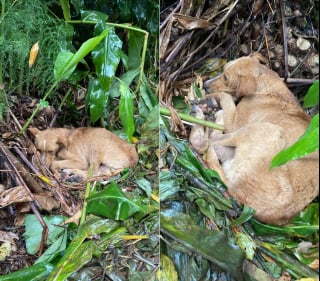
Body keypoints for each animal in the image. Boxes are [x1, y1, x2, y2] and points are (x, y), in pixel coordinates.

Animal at [190, 52, 318, 223]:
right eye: (224, 69)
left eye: (226, 78)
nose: (204, 84)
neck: (264, 85)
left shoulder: (234, 123)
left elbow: (226, 96)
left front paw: (213, 99)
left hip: (266, 131)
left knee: (208, 141)